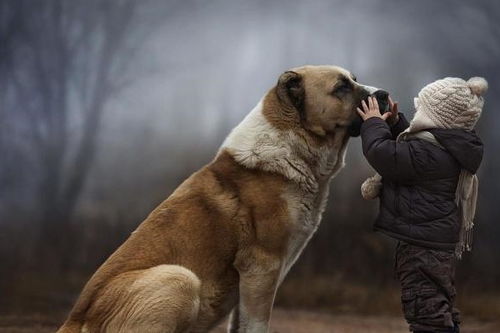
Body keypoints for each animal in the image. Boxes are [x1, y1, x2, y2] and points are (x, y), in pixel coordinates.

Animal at [57, 65, 386, 332]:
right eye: (341, 87)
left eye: (355, 79)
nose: (384, 94)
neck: (293, 146)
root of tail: (73, 321)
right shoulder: (262, 268)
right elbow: (256, 325)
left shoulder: (252, 281)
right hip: (179, 279)